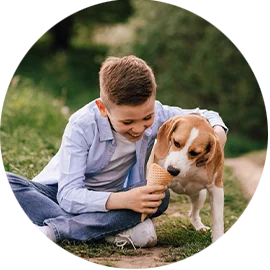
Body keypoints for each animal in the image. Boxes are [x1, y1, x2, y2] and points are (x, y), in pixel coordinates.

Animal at [147, 113, 225, 244]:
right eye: (176, 143)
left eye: (194, 153)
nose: (172, 170)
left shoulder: (216, 188)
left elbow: (218, 219)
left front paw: (218, 240)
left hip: (200, 196)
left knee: (193, 214)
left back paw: (199, 226)